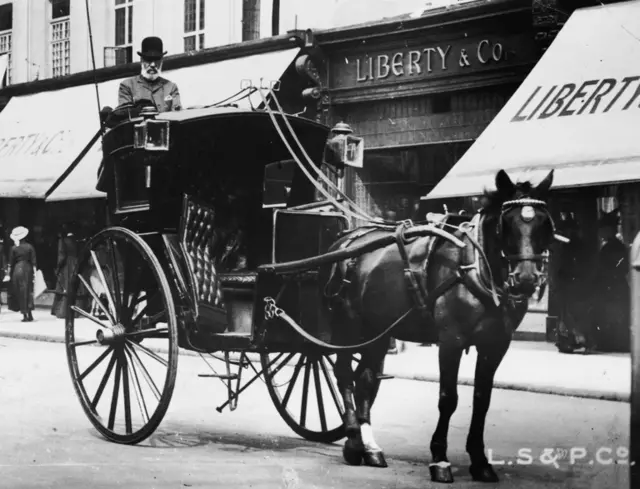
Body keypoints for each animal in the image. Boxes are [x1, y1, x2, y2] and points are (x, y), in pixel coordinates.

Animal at [324, 170, 556, 482]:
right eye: (507, 222)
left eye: (544, 222)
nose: (527, 279)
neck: (475, 268)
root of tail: (347, 240)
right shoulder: (451, 341)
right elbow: (448, 399)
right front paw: (440, 459)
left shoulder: (495, 345)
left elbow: (482, 400)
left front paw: (480, 461)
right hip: (348, 327)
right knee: (343, 376)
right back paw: (352, 441)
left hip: (378, 332)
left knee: (365, 381)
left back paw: (370, 448)